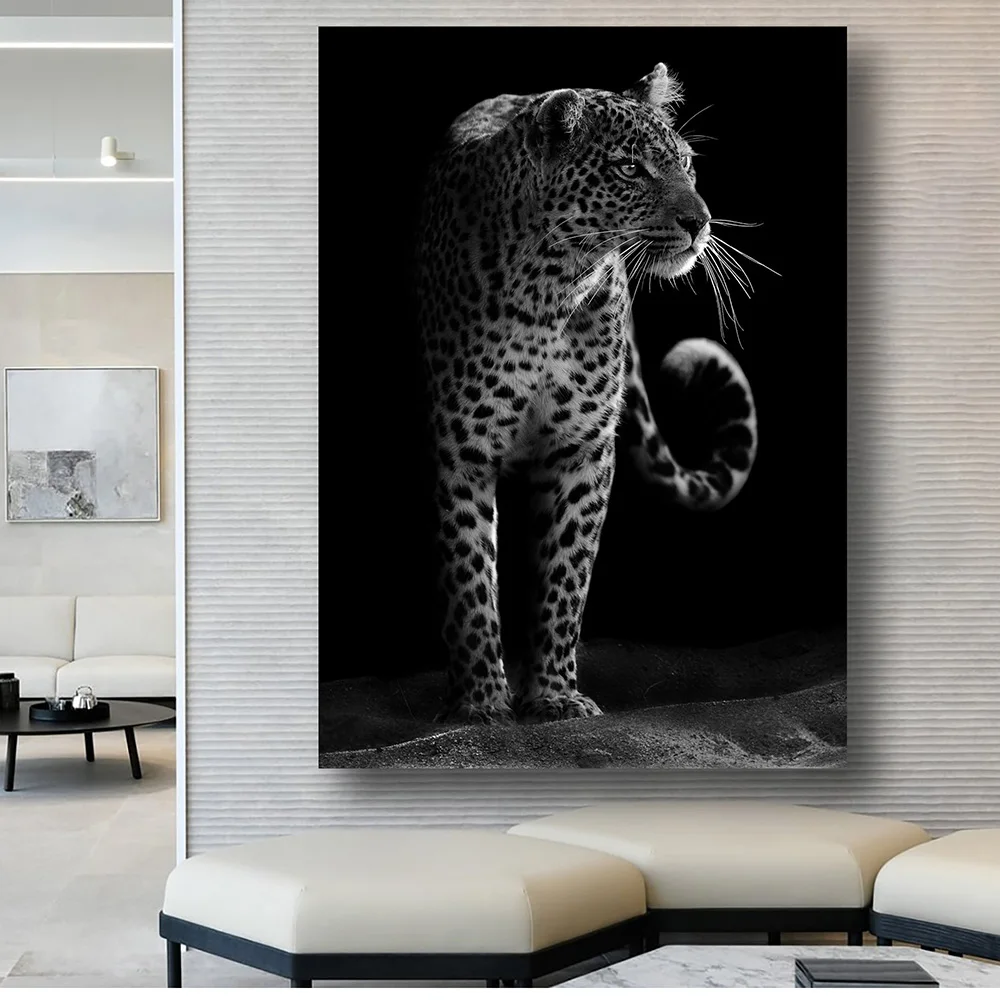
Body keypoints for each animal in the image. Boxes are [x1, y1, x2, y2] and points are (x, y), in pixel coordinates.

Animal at [416, 63, 758, 724]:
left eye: (686, 164)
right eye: (630, 168)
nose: (700, 222)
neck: (551, 284)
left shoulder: (583, 448)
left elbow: (565, 575)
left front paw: (553, 694)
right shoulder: (462, 446)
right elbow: (469, 576)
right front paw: (480, 702)